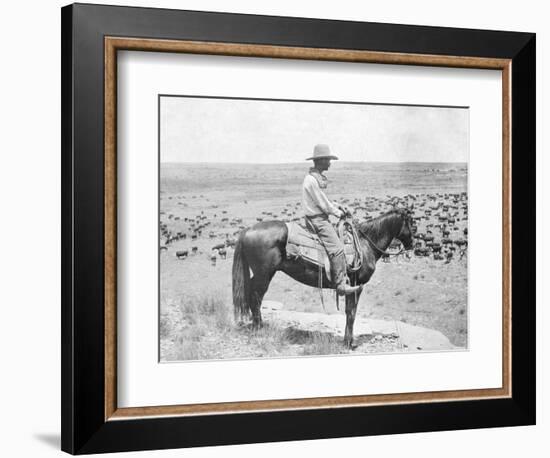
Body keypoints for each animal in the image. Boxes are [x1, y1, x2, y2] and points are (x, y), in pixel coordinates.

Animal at [231, 208, 416, 348]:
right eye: (410, 223)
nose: (411, 245)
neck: (365, 245)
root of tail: (247, 231)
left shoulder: (352, 287)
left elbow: (350, 312)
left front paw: (348, 340)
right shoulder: (356, 286)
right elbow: (351, 313)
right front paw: (349, 343)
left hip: (260, 274)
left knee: (251, 294)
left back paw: (257, 326)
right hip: (264, 274)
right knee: (256, 296)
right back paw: (259, 328)